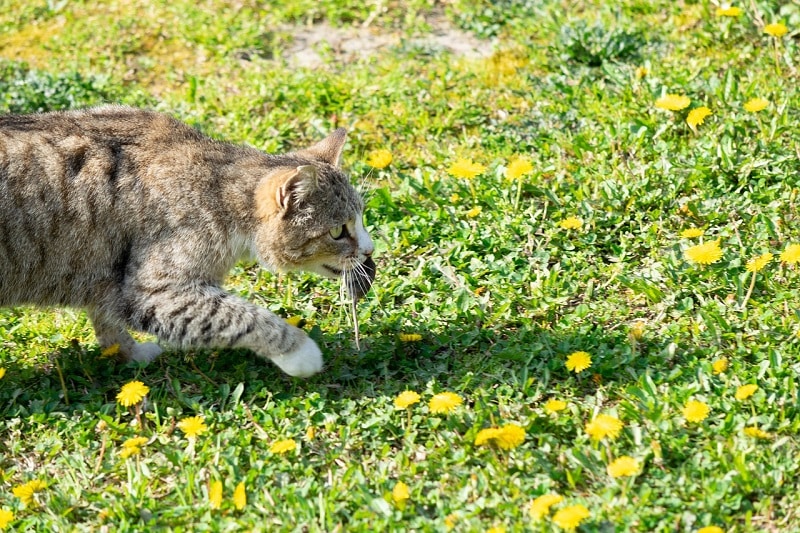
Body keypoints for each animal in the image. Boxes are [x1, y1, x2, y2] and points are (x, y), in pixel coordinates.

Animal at [0, 106, 376, 376]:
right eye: (338, 231)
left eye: (361, 218)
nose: (370, 250)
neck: (220, 190)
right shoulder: (153, 291)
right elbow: (242, 316)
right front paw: (301, 353)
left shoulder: (110, 281)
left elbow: (107, 319)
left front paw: (129, 354)